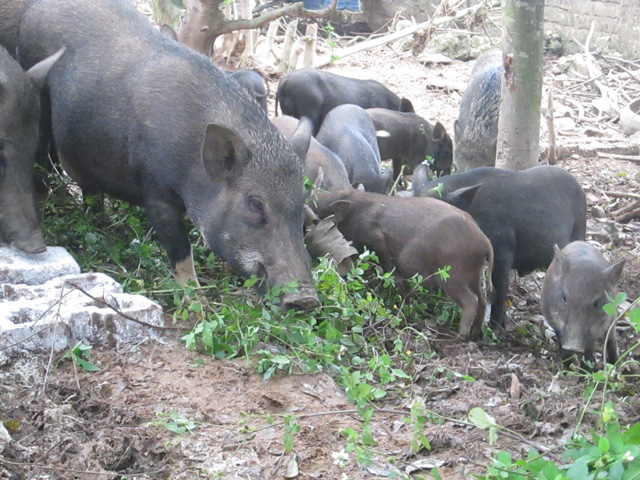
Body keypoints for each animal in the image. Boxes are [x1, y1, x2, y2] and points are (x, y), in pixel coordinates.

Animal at [18, 0, 318, 310]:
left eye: (302, 202)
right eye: (256, 203)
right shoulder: (155, 190)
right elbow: (179, 246)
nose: (306, 299)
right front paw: (196, 299)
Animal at [312, 188, 492, 342]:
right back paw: (476, 336)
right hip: (474, 275)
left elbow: (391, 271)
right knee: (483, 301)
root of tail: (484, 241)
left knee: (471, 300)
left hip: (453, 276)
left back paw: (460, 337)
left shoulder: (376, 238)